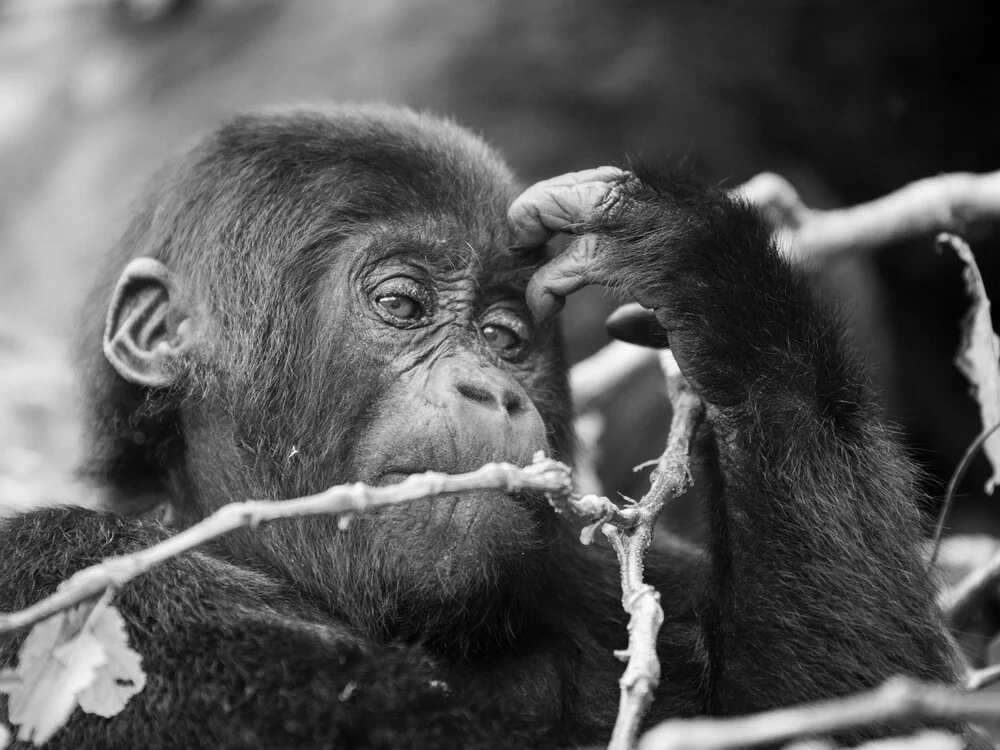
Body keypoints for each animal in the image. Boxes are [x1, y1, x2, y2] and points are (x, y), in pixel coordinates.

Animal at [0, 106, 968, 750]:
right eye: (401, 304)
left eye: (506, 338)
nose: (492, 390)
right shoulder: (75, 580)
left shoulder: (641, 578)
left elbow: (850, 704)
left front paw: (712, 280)